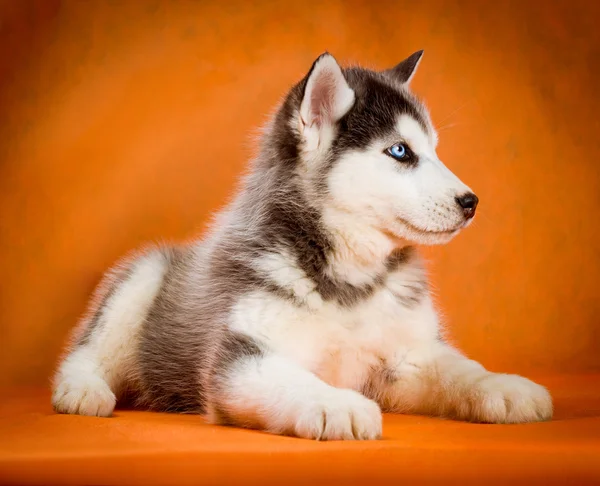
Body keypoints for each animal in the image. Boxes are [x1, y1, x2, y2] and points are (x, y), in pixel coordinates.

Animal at [51, 51, 552, 438]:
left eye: (433, 149)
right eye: (400, 151)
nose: (471, 202)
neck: (352, 278)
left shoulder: (408, 358)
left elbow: (462, 370)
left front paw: (505, 386)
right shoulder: (244, 357)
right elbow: (294, 381)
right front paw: (336, 404)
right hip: (141, 279)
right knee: (88, 349)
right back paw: (82, 390)